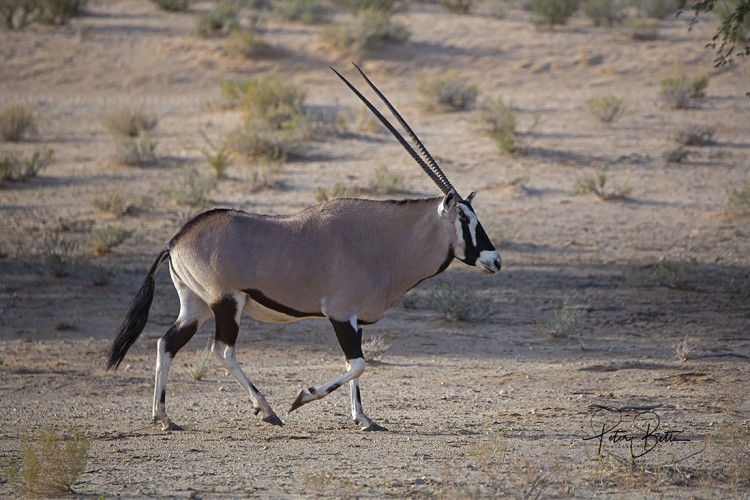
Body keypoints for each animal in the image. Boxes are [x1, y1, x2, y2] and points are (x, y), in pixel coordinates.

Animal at [106, 64, 502, 432]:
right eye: (465, 218)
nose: (495, 260)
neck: (383, 240)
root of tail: (176, 239)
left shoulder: (355, 320)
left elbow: (355, 368)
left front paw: (364, 419)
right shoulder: (340, 314)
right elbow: (357, 365)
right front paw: (303, 397)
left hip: (197, 305)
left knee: (166, 344)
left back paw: (163, 417)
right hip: (226, 303)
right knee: (223, 350)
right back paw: (267, 410)